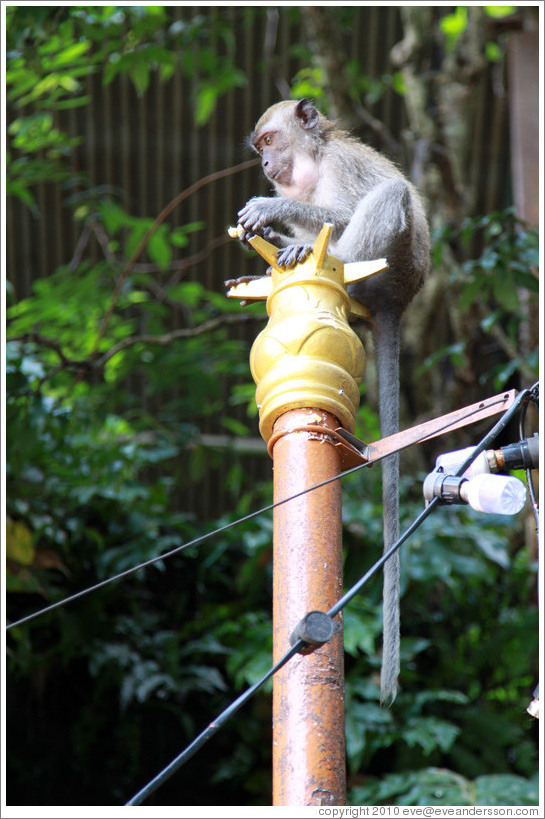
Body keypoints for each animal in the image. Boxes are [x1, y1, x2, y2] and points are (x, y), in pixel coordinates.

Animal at [232, 97, 432, 704]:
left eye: (269, 140)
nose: (265, 164)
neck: (314, 162)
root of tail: (398, 303)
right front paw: (272, 228)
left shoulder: (341, 166)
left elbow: (342, 208)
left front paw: (271, 211)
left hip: (390, 270)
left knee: (387, 201)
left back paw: (319, 251)